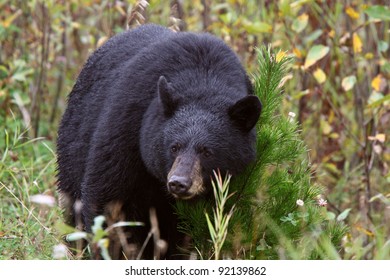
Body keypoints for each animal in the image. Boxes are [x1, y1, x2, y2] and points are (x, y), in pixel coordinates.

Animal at [57, 23, 262, 260]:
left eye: (207, 151)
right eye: (174, 147)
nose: (179, 182)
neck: (204, 81)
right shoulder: (128, 125)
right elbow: (109, 199)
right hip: (73, 147)